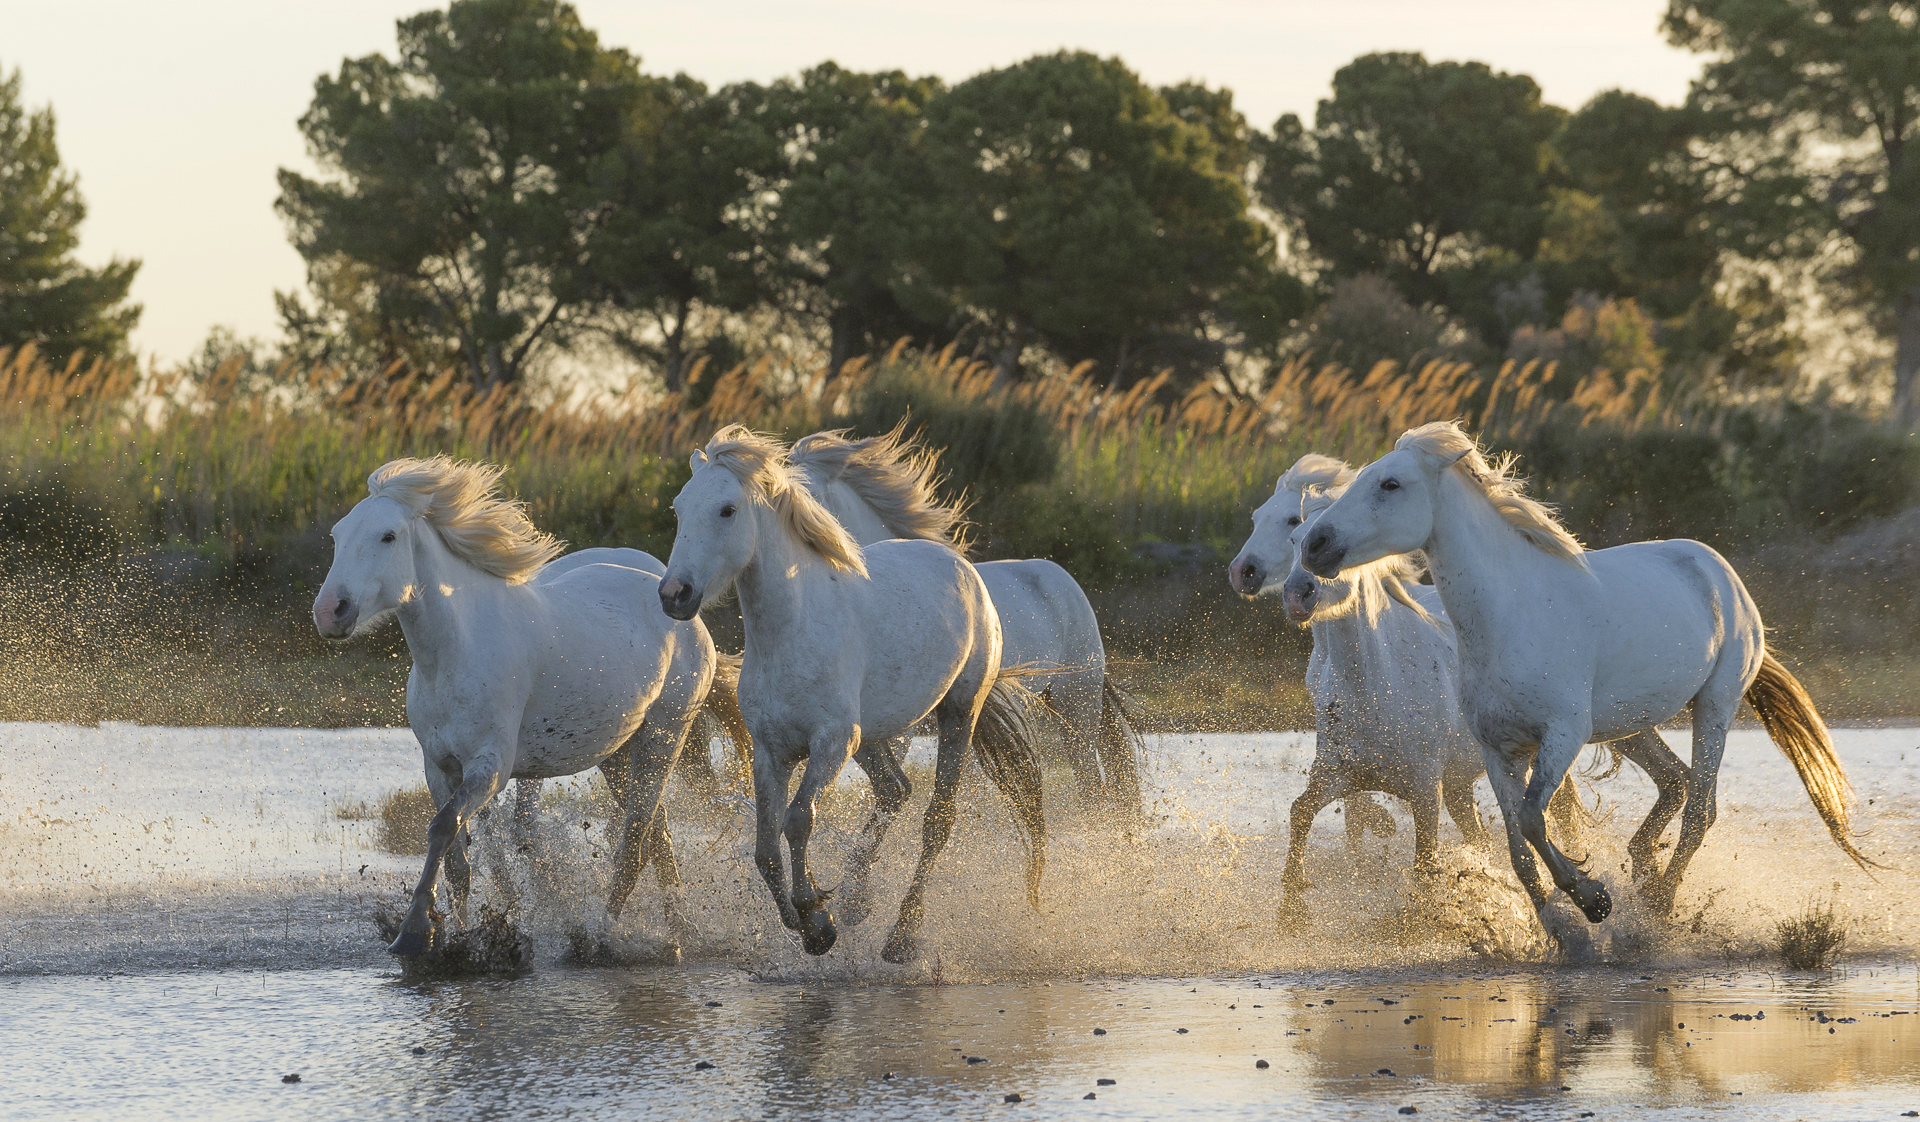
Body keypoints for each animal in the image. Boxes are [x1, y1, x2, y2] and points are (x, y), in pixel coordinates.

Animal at [314, 455, 725, 956]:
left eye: (388, 536)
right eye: (337, 535)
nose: (329, 611)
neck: (456, 651)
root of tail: (681, 606)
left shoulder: (491, 766)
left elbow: (442, 828)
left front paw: (414, 932)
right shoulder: (438, 766)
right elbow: (457, 858)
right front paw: (455, 932)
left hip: (665, 735)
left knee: (634, 844)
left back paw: (601, 938)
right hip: (619, 750)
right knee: (659, 837)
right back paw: (679, 935)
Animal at [664, 424, 1052, 960]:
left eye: (727, 509)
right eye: (679, 508)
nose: (674, 594)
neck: (792, 629)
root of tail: (960, 566)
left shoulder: (831, 742)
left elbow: (797, 820)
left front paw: (816, 921)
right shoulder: (771, 750)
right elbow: (765, 848)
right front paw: (806, 918)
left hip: (958, 712)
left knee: (937, 821)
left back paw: (902, 936)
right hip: (872, 736)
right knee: (895, 789)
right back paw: (853, 902)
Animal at [1297, 420, 1866, 937]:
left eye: (1390, 484)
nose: (1314, 545)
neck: (1510, 615)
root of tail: (1720, 571)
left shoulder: (1562, 734)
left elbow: (1532, 819)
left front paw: (1592, 899)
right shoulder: (1498, 749)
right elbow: (1517, 844)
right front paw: (1562, 927)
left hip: (1716, 706)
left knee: (1701, 809)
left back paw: (1660, 903)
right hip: (1633, 726)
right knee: (1676, 783)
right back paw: (1644, 871)